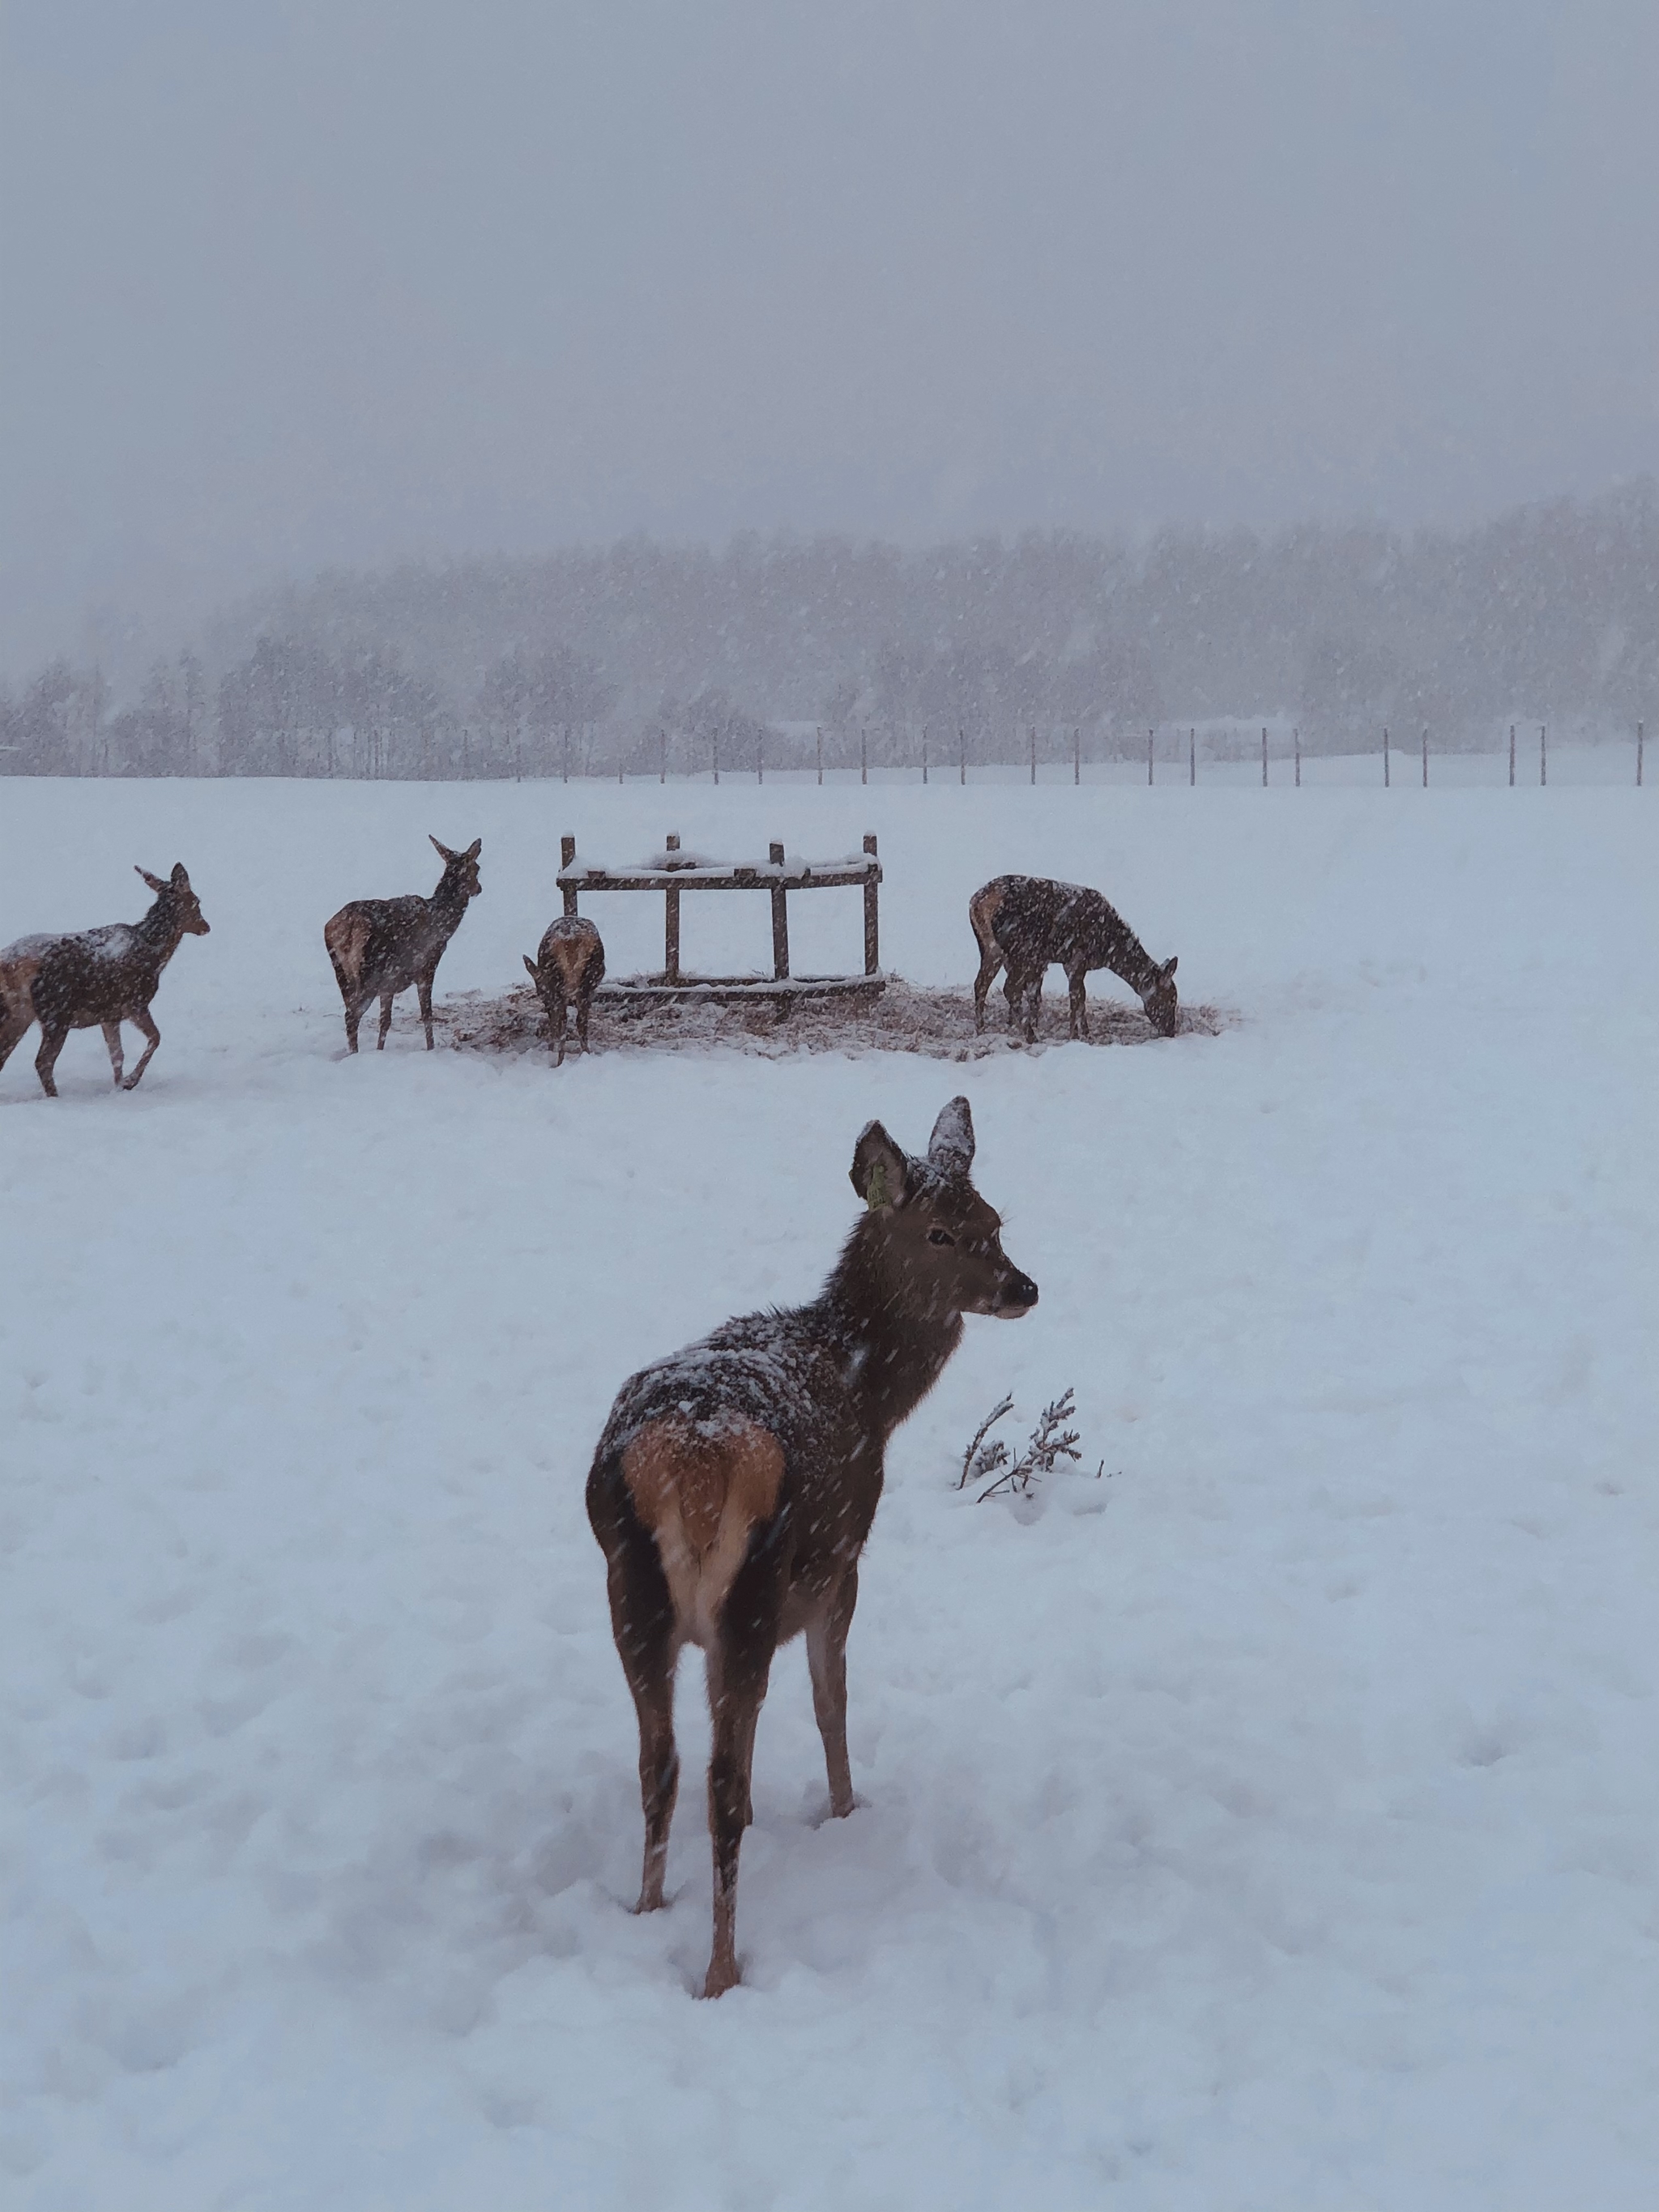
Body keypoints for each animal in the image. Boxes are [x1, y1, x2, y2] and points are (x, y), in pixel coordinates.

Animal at [0, 867, 214, 1102]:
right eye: (196, 900)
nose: (206, 926)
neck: (154, 955)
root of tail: (8, 964)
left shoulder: (110, 1015)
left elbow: (117, 1054)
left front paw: (119, 1087)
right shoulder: (134, 1002)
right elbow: (155, 1038)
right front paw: (130, 1082)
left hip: (20, 1014)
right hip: (55, 1012)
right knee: (43, 1061)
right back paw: (56, 1098)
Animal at [322, 840, 480, 1057]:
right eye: (477, 868)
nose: (479, 888)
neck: (443, 925)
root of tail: (348, 927)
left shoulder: (389, 983)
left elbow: (385, 1021)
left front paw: (380, 1051)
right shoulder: (427, 966)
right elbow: (426, 1013)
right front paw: (431, 1048)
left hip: (343, 974)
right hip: (369, 973)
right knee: (351, 1016)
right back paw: (355, 1054)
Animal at [522, 906, 606, 1061]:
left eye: (539, 992)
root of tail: (571, 941)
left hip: (560, 983)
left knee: (563, 1021)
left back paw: (559, 1059)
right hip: (586, 981)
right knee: (578, 1020)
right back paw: (581, 1054)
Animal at [588, 1097, 1039, 1999]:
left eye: (995, 1220)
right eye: (940, 1232)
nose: (1023, 1286)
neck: (871, 1392)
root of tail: (692, 1456)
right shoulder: (843, 1560)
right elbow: (833, 1702)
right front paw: (844, 1809)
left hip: (631, 1594)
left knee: (661, 1761)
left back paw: (648, 1911)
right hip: (754, 1593)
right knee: (717, 1783)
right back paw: (721, 1969)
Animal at [973, 872, 1185, 1044]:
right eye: (1171, 999)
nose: (1170, 1031)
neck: (1108, 950)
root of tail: (977, 902)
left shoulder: (1070, 963)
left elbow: (1082, 997)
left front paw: (1087, 1034)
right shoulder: (1077, 957)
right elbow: (1076, 997)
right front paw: (1074, 1036)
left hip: (991, 949)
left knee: (981, 984)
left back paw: (981, 1030)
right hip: (1022, 950)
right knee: (1010, 988)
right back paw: (1031, 1036)